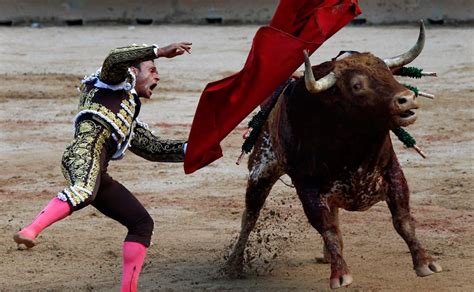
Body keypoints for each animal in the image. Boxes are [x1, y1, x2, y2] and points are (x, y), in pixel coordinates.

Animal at [224, 21, 442, 288]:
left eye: (389, 74)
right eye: (357, 86)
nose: (407, 99)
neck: (353, 145)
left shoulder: (393, 172)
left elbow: (403, 220)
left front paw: (425, 262)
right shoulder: (307, 187)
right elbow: (327, 228)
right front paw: (340, 274)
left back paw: (327, 256)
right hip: (261, 169)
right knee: (250, 215)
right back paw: (233, 265)